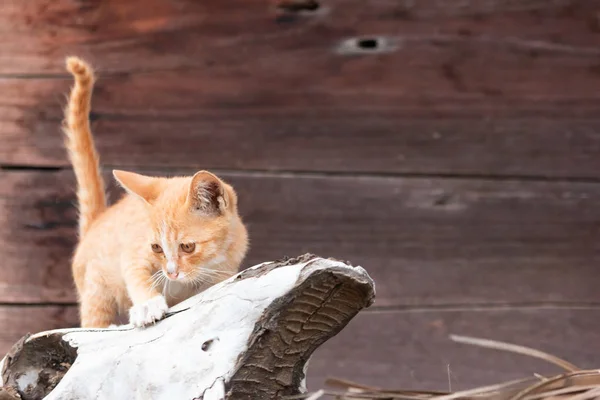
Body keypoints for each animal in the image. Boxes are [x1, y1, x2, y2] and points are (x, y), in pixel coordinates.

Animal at [61, 58, 248, 328]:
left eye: (187, 247)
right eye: (156, 248)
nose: (171, 272)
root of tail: (96, 222)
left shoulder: (225, 270)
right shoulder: (133, 250)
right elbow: (136, 273)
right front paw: (148, 305)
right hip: (95, 285)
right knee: (93, 320)